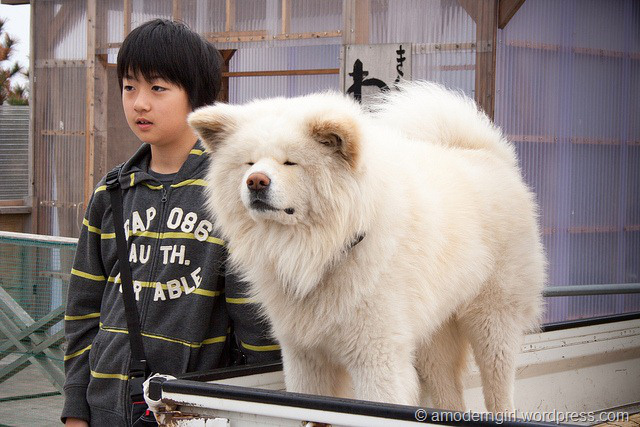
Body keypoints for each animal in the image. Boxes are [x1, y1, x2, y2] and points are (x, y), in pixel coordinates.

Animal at [189, 82, 544, 412]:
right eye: (248, 163)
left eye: (291, 163)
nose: (256, 181)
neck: (328, 248)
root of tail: (489, 156)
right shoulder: (304, 356)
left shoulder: (377, 355)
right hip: (433, 336)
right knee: (449, 395)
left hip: (493, 322)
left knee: (499, 388)